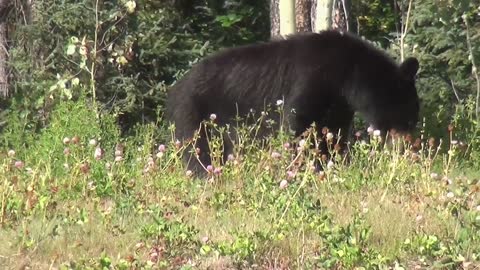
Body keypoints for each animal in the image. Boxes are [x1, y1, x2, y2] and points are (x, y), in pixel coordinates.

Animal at [166, 29, 420, 173]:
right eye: (410, 116)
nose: (410, 145)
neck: (348, 75)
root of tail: (178, 86)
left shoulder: (339, 102)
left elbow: (333, 132)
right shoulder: (314, 77)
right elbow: (299, 122)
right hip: (197, 111)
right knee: (198, 149)